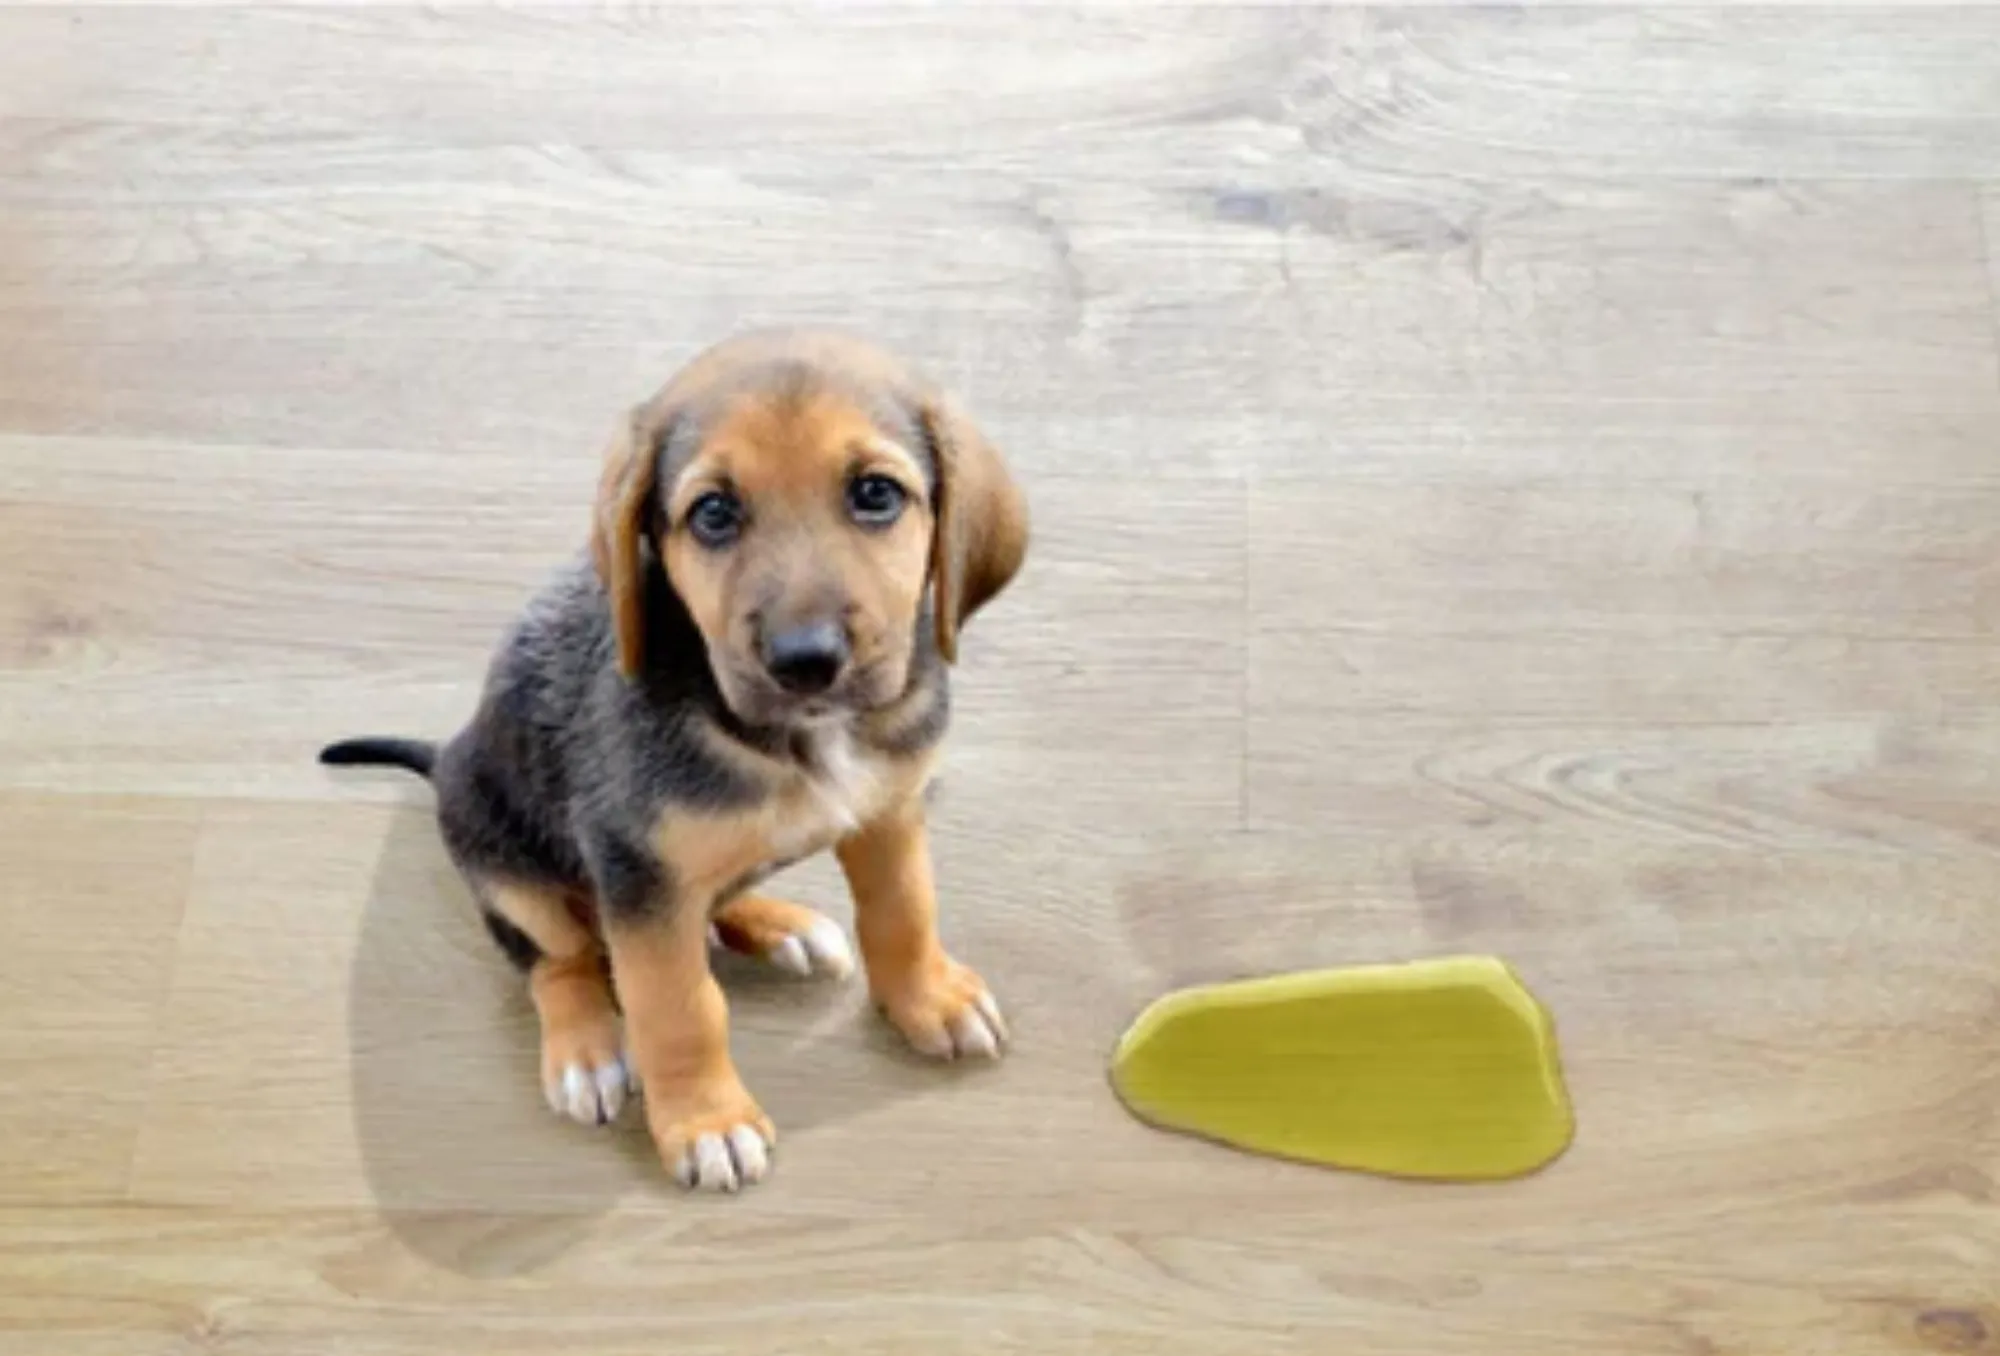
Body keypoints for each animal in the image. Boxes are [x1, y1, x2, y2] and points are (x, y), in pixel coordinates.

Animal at [320, 329, 1028, 1192]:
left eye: (876, 494)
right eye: (713, 513)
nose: (806, 662)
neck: (800, 739)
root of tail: (446, 754)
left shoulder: (889, 812)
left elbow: (904, 911)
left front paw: (928, 997)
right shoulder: (637, 868)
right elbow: (678, 1007)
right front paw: (705, 1122)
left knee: (709, 901)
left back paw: (780, 924)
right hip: (504, 861)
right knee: (558, 960)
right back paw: (587, 1049)